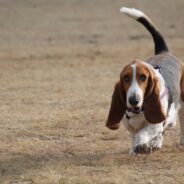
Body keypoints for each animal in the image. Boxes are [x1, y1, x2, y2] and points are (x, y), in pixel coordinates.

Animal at [105, 6, 184, 154]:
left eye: (143, 78)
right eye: (126, 78)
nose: (133, 100)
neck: (138, 111)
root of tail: (163, 52)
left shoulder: (155, 124)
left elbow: (143, 133)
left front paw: (141, 146)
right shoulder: (130, 125)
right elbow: (135, 134)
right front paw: (135, 148)